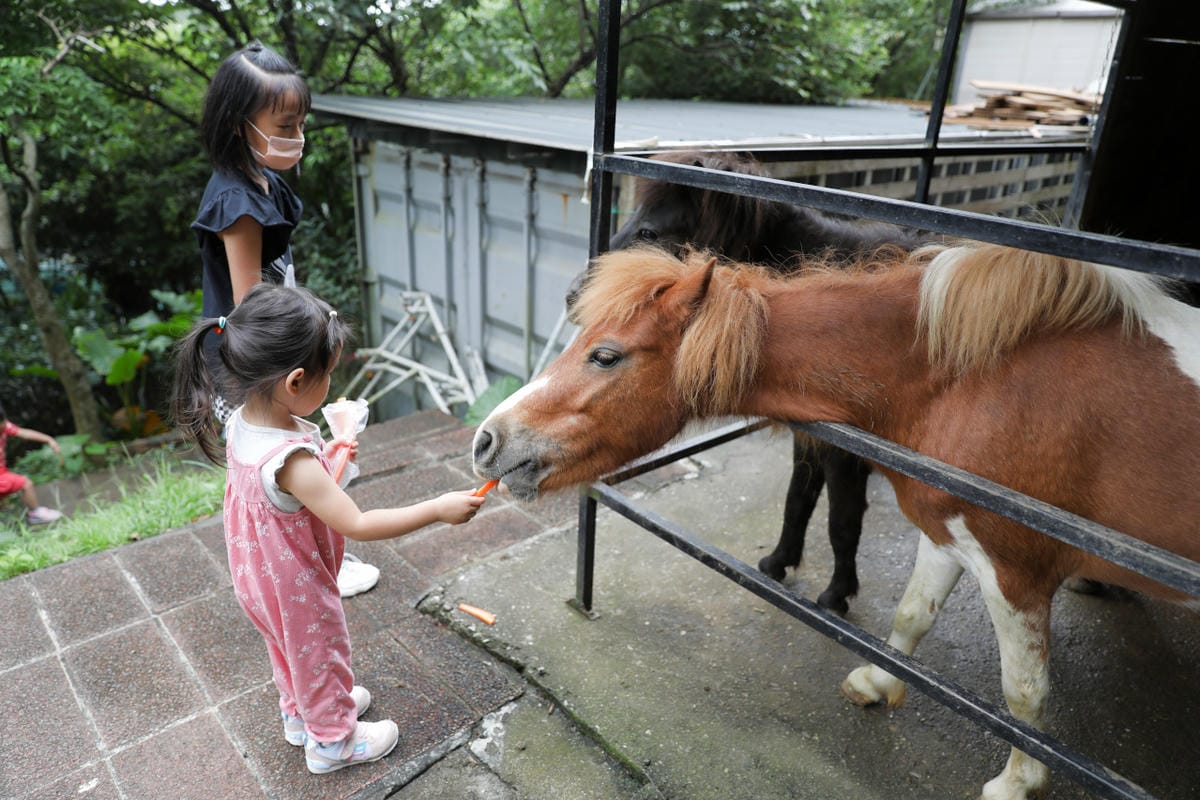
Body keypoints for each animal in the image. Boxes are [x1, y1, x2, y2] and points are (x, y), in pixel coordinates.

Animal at [474, 242, 1200, 800]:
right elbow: (911, 616)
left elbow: (1023, 694)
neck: (973, 379)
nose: (485, 440)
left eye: (606, 355)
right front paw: (877, 684)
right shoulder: (948, 535)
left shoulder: (1014, 569)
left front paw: (1017, 783)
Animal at [602, 149, 932, 614]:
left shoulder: (845, 450)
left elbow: (842, 518)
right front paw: (778, 562)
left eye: (650, 231)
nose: (575, 295)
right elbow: (798, 499)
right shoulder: (810, 433)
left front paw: (835, 595)